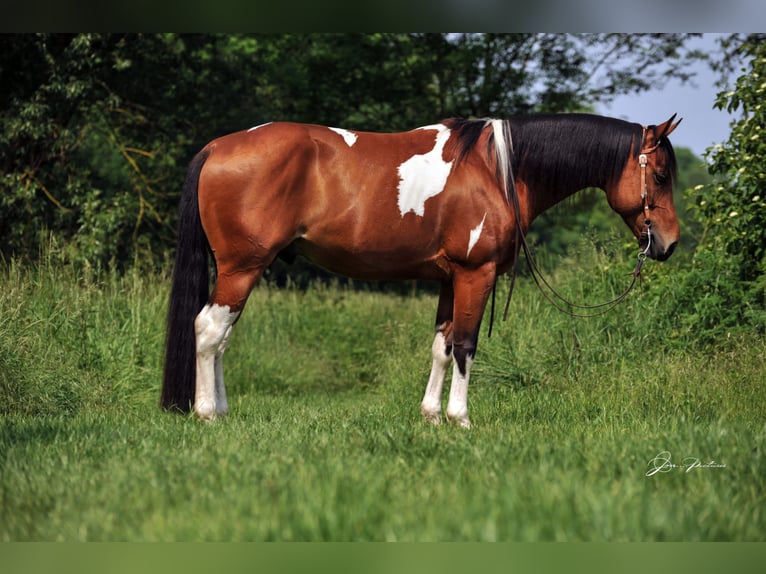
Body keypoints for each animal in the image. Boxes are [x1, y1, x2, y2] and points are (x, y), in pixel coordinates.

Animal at [161, 113, 681, 428]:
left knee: (222, 337)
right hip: (242, 267)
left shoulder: (450, 280)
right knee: (209, 330)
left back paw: (222, 410)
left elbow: (441, 347)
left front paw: (431, 416)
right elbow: (467, 346)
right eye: (659, 175)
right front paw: (460, 419)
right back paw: (206, 413)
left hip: (240, 270)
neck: (498, 170)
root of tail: (217, 147)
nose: (669, 244)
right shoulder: (476, 273)